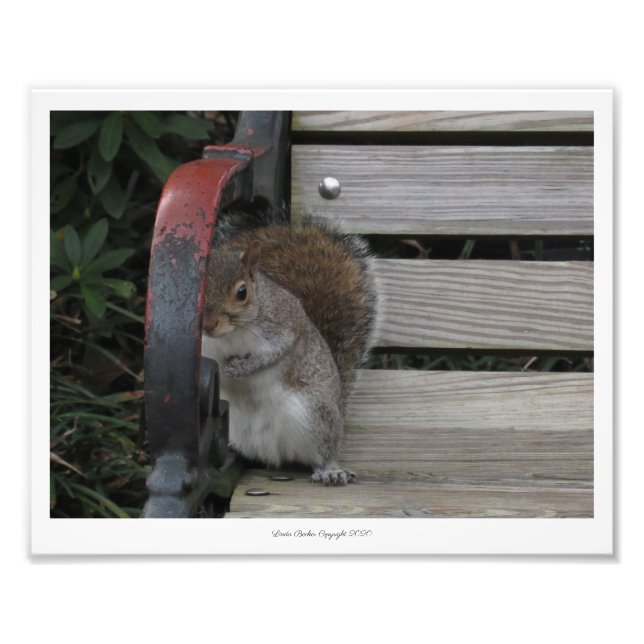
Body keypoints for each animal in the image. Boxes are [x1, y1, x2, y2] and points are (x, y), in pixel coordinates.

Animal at [201, 212, 377, 486]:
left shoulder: (284, 325)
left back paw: (330, 470)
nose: (208, 324)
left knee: (324, 452)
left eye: (242, 292)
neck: (229, 335)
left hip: (315, 417)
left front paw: (241, 368)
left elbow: (276, 353)